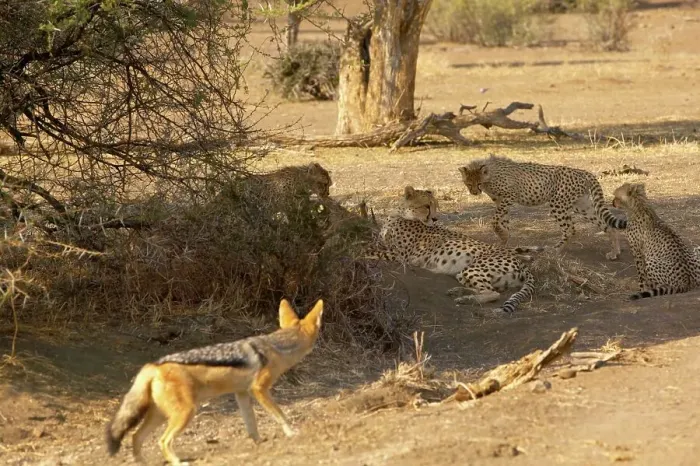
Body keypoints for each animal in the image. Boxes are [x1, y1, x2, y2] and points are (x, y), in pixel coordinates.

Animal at [366, 186, 544, 314]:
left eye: (436, 206)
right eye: (426, 206)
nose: (435, 218)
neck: (399, 214)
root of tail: (521, 264)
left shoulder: (399, 255)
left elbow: (368, 250)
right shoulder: (386, 245)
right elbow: (369, 244)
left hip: (473, 269)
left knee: (493, 293)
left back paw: (466, 299)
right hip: (469, 273)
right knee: (487, 288)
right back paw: (458, 291)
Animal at [458, 154, 627, 261]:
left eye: (478, 183)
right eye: (468, 183)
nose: (474, 192)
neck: (491, 174)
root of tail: (584, 172)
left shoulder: (508, 198)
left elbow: (494, 220)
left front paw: (503, 238)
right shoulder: (501, 202)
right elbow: (503, 222)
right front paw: (504, 240)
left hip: (558, 204)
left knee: (570, 229)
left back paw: (555, 249)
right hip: (582, 206)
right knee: (607, 225)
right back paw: (615, 252)